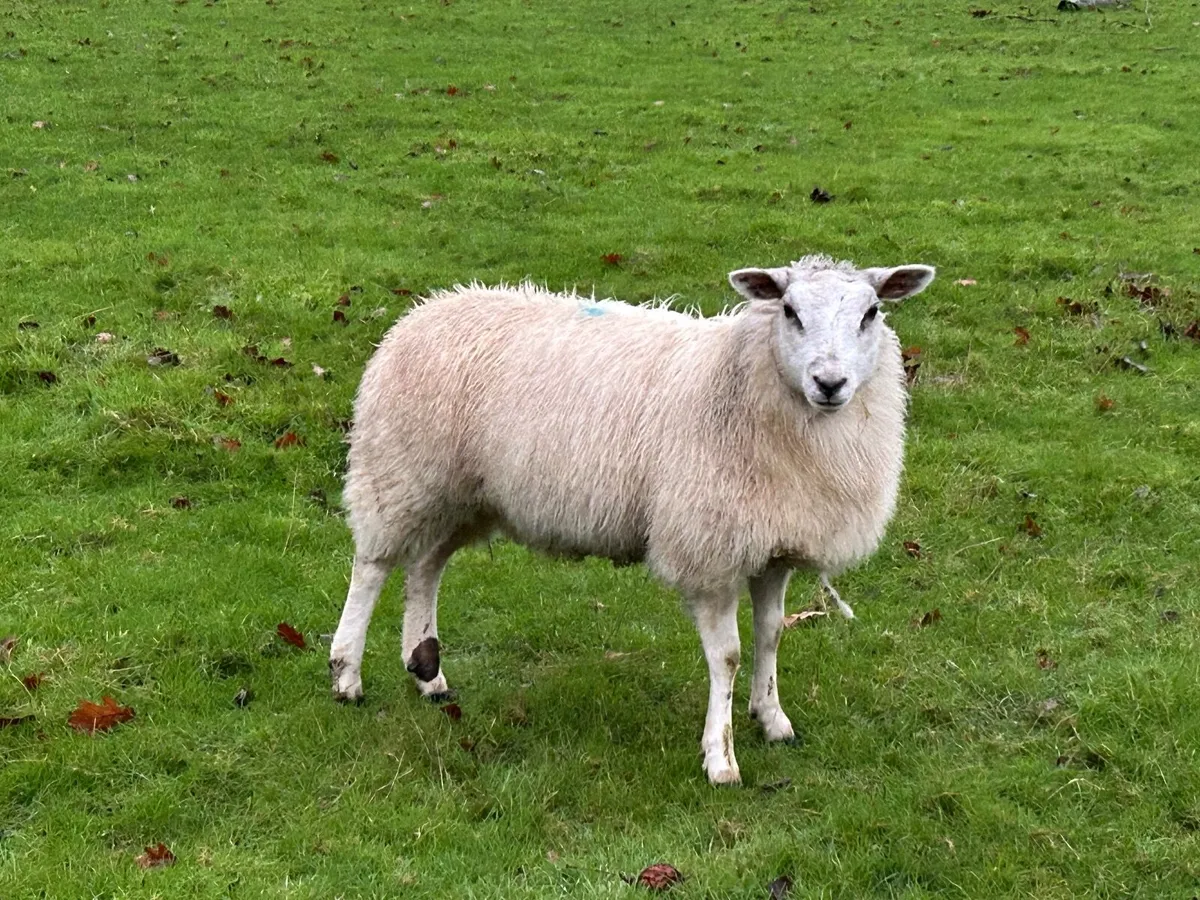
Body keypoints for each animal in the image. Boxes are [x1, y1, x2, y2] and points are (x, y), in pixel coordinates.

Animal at [329, 255, 935, 785]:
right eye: (788, 310)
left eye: (871, 313)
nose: (829, 383)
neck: (741, 383)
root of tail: (427, 308)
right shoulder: (708, 548)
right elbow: (729, 656)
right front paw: (721, 758)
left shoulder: (773, 545)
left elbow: (770, 635)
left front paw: (772, 719)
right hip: (402, 470)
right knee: (373, 565)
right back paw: (347, 674)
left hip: (466, 494)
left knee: (426, 567)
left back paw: (427, 673)